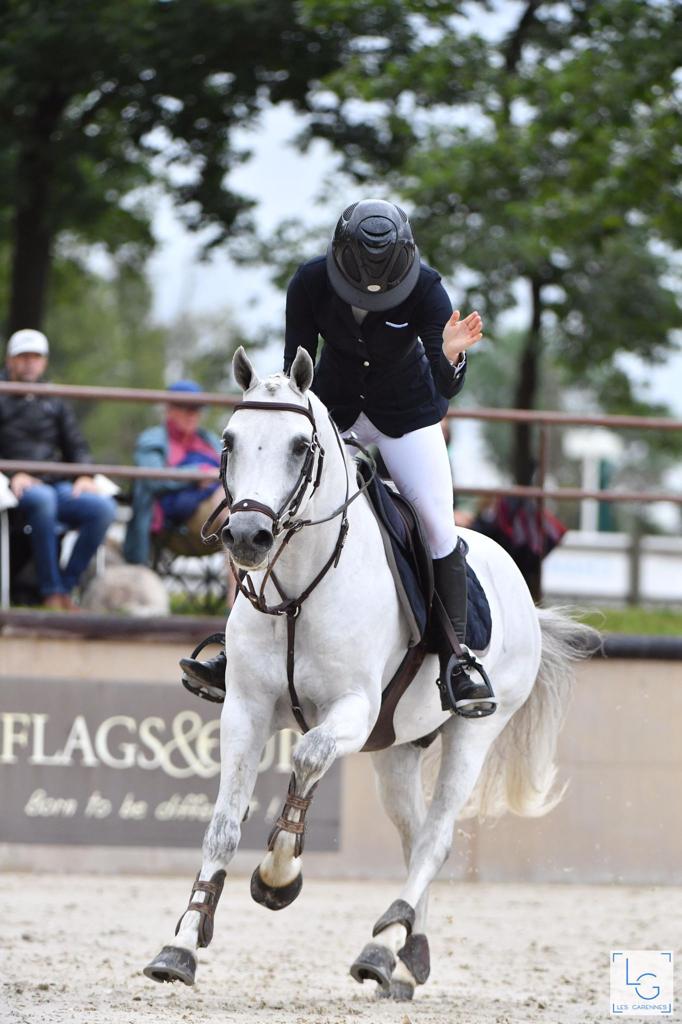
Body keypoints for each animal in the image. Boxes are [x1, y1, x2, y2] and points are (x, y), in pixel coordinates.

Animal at [143, 350, 593, 999]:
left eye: (300, 447)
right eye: (228, 441)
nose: (248, 537)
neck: (298, 589)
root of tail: (518, 582)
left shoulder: (352, 710)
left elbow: (307, 756)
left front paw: (278, 875)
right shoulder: (245, 708)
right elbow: (224, 823)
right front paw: (180, 943)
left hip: (474, 729)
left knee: (434, 839)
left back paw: (380, 950)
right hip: (397, 750)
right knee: (414, 836)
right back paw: (406, 955)